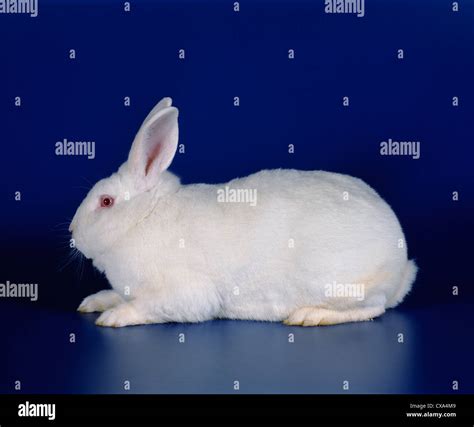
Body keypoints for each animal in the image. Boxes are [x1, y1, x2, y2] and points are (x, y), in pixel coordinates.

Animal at [72, 98, 416, 330]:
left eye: (106, 202)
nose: (72, 230)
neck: (142, 218)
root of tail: (401, 265)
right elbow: (121, 296)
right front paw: (95, 302)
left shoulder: (184, 294)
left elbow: (149, 307)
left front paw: (114, 316)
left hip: (345, 286)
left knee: (373, 308)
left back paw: (309, 315)